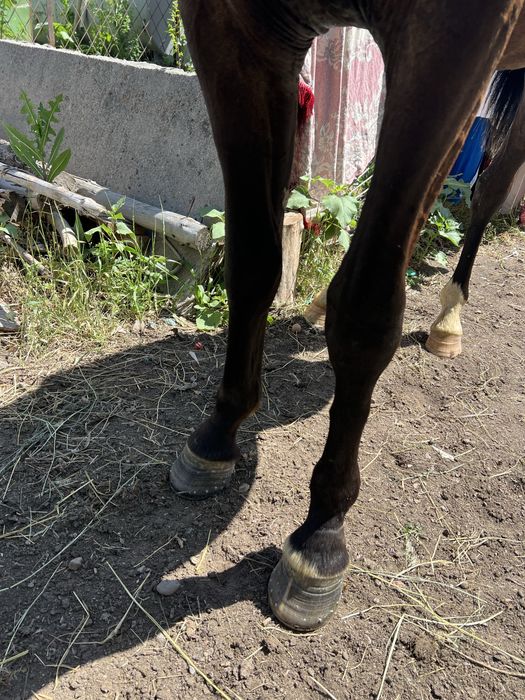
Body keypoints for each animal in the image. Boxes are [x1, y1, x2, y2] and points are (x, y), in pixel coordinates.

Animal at [173, 1, 525, 631]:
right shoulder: (235, 31)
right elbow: (253, 260)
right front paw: (218, 432)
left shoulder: (459, 41)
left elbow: (365, 313)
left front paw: (321, 535)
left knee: (491, 184)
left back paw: (449, 316)